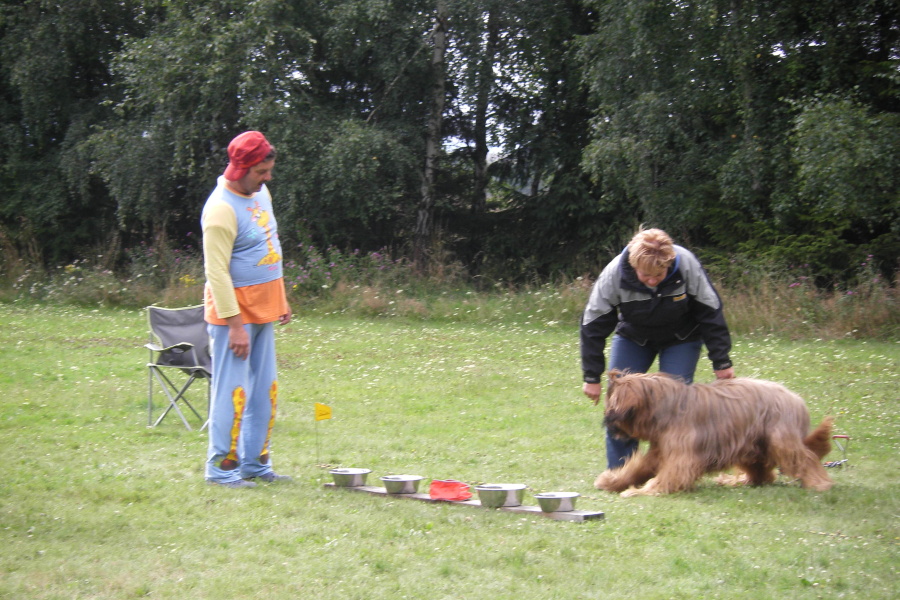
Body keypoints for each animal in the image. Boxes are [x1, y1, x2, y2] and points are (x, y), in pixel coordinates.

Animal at [596, 370, 832, 496]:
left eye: (611, 404)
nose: (606, 421)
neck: (667, 407)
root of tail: (797, 400)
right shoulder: (660, 449)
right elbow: (639, 468)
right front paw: (614, 481)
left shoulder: (682, 456)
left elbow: (669, 475)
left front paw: (639, 491)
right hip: (750, 444)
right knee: (762, 474)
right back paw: (738, 481)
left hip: (780, 440)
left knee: (805, 458)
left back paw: (819, 483)